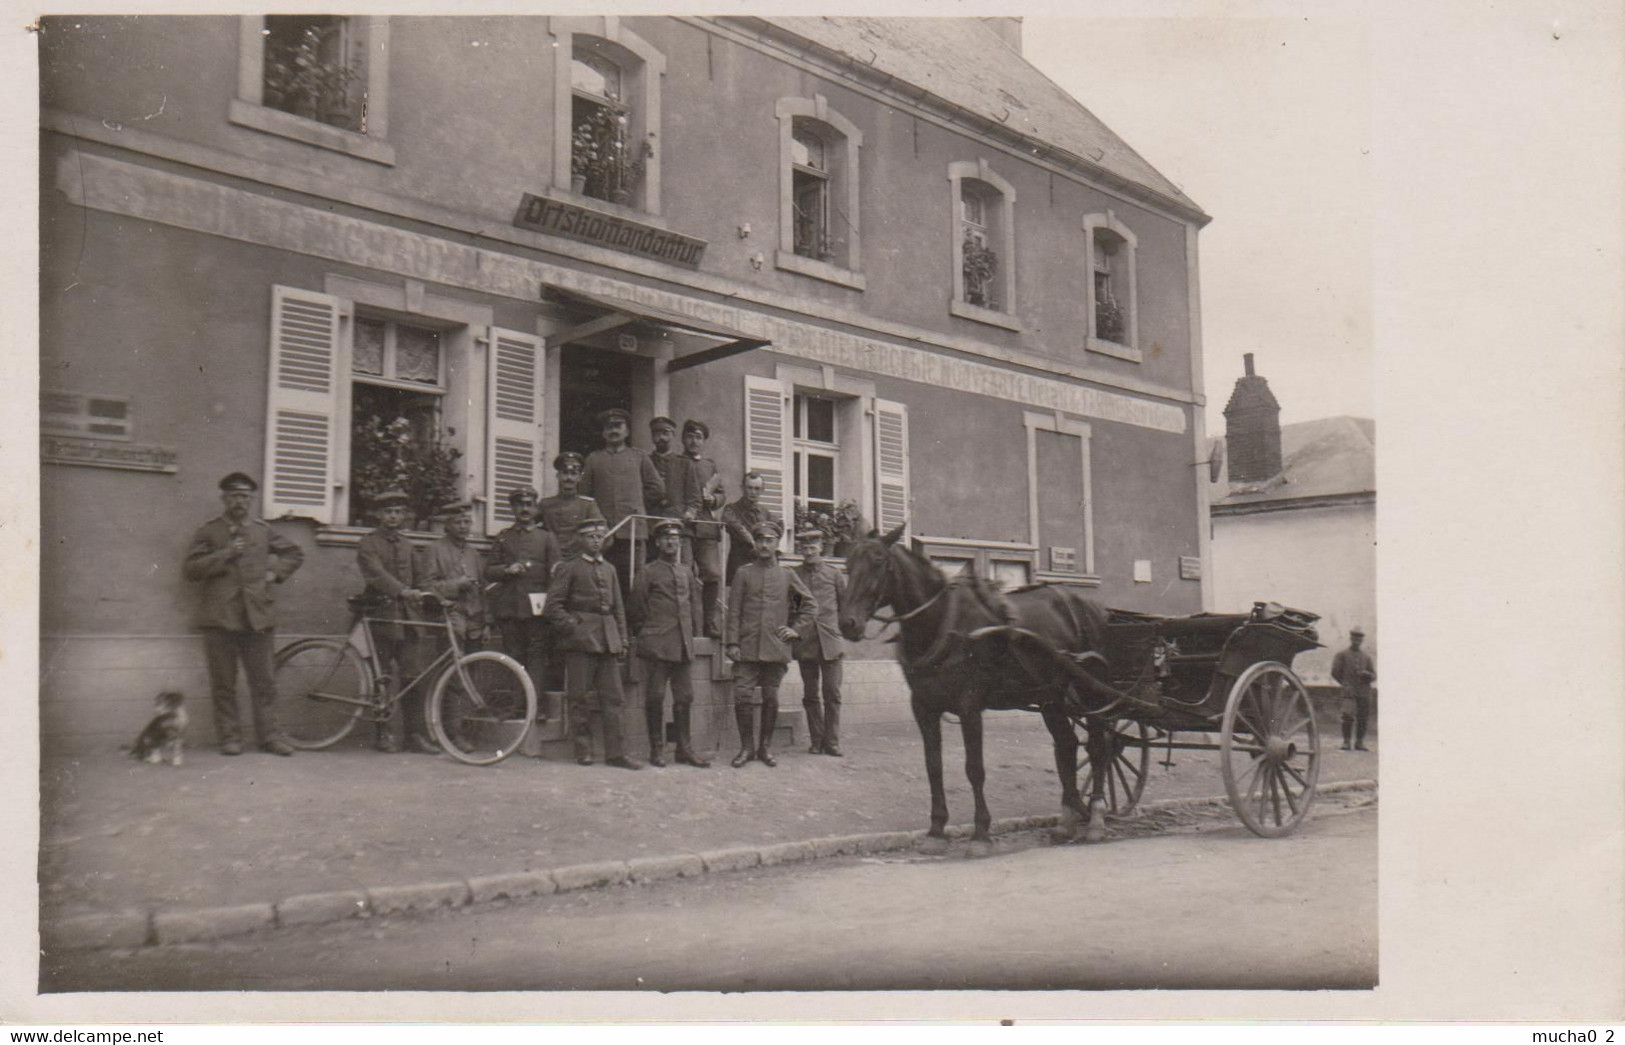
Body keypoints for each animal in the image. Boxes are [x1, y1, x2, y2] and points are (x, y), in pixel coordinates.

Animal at [832, 526, 1150, 845]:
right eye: (847, 563)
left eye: (878, 562)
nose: (848, 623)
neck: (943, 622)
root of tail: (1093, 607)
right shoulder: (923, 706)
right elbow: (933, 766)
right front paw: (936, 829)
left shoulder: (970, 704)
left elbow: (974, 768)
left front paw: (981, 833)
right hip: (1052, 697)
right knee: (1067, 746)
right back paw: (1067, 820)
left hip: (1091, 692)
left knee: (1099, 748)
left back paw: (1096, 817)